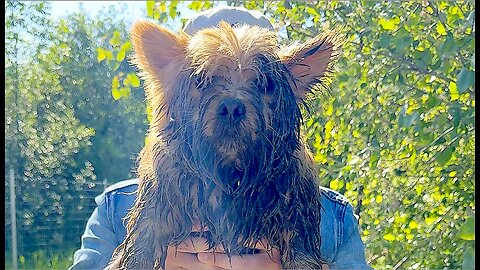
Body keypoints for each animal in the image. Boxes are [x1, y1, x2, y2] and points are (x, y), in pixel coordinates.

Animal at [109, 20, 342, 268]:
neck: (229, 175)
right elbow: (138, 253)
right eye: (201, 80)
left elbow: (302, 258)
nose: (232, 107)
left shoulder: (296, 223)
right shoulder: (153, 216)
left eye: (266, 85)